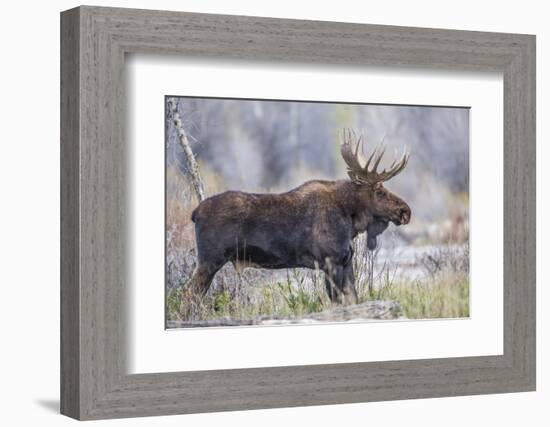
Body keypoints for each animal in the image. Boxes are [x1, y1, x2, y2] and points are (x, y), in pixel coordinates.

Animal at [183, 130, 412, 310]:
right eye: (379, 191)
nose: (405, 211)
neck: (350, 219)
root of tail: (194, 213)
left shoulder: (345, 262)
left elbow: (353, 299)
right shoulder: (331, 261)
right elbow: (338, 302)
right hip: (209, 260)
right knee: (188, 295)